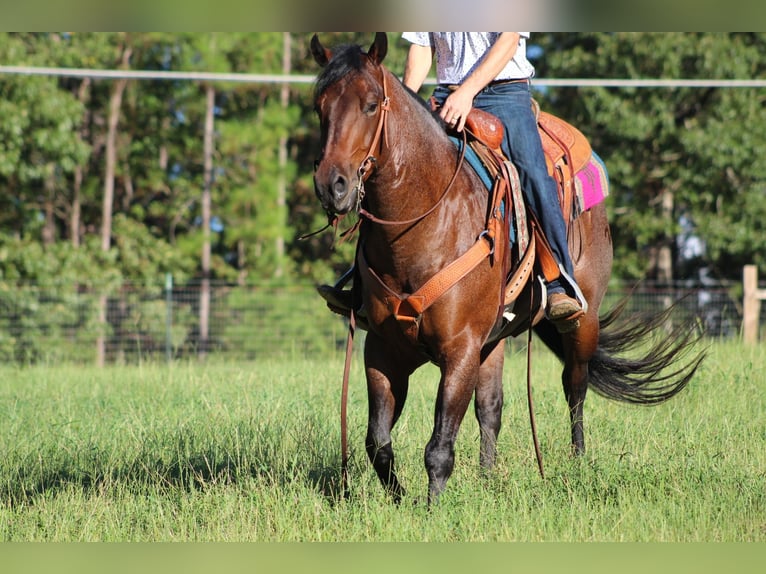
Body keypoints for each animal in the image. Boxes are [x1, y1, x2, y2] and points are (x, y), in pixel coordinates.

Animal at [308, 33, 704, 506]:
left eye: (371, 105)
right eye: (319, 105)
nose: (332, 186)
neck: (426, 221)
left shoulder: (459, 350)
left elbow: (438, 447)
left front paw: (431, 509)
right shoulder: (384, 349)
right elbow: (378, 443)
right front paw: (401, 499)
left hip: (583, 320)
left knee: (575, 386)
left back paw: (576, 462)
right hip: (493, 340)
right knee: (491, 407)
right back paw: (487, 477)